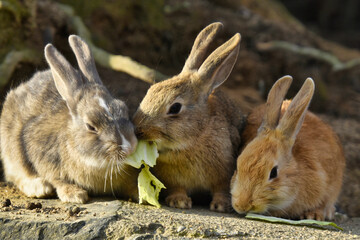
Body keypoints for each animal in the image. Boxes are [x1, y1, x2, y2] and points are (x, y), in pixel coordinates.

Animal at [0, 34, 139, 202]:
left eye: (123, 108)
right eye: (91, 126)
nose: (129, 147)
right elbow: (57, 179)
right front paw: (75, 195)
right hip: (10, 149)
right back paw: (39, 188)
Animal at [133, 22, 245, 212]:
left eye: (175, 108)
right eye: (150, 90)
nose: (138, 130)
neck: (196, 138)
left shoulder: (224, 173)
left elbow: (221, 189)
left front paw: (221, 205)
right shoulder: (173, 179)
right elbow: (178, 188)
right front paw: (179, 202)